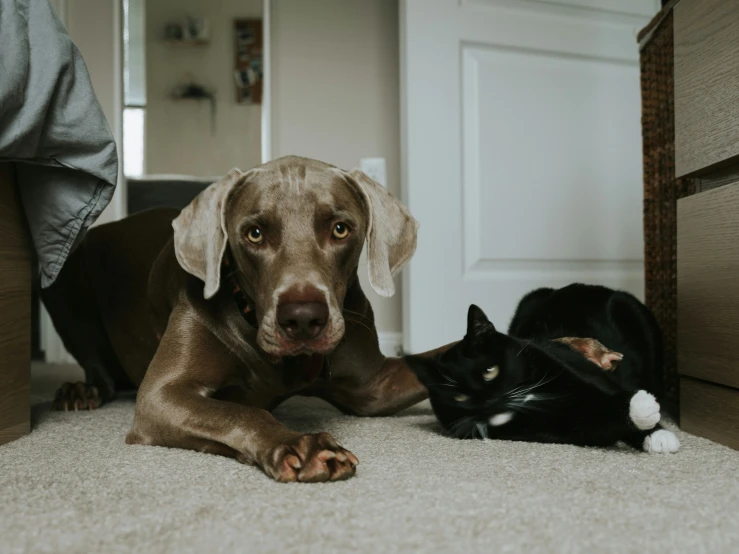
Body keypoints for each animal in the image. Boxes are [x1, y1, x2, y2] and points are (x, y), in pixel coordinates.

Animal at [43, 154, 620, 478]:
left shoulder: (373, 385)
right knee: (96, 364)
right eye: (254, 233)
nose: (303, 319)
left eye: (340, 228)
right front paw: (299, 444)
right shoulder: (162, 396)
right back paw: (80, 390)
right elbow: (241, 413)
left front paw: (573, 347)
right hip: (65, 279)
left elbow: (437, 355)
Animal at [408, 282, 680, 450]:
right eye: (459, 397)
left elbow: (610, 391)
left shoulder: (573, 367)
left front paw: (657, 431)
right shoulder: (560, 428)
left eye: (490, 371)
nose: (489, 403)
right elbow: (597, 422)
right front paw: (642, 413)